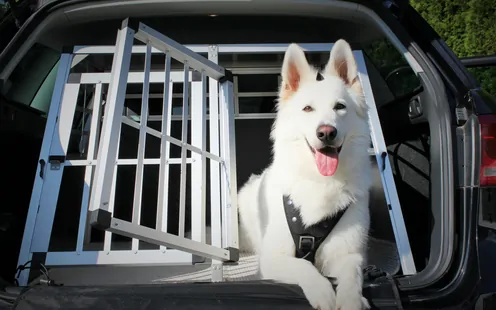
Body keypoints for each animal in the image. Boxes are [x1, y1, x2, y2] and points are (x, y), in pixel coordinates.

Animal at [236, 39, 372, 310]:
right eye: (307, 108)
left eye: (340, 107)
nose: (326, 132)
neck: (320, 181)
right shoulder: (273, 258)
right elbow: (303, 266)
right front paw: (323, 292)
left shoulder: (349, 254)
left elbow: (353, 277)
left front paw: (352, 300)